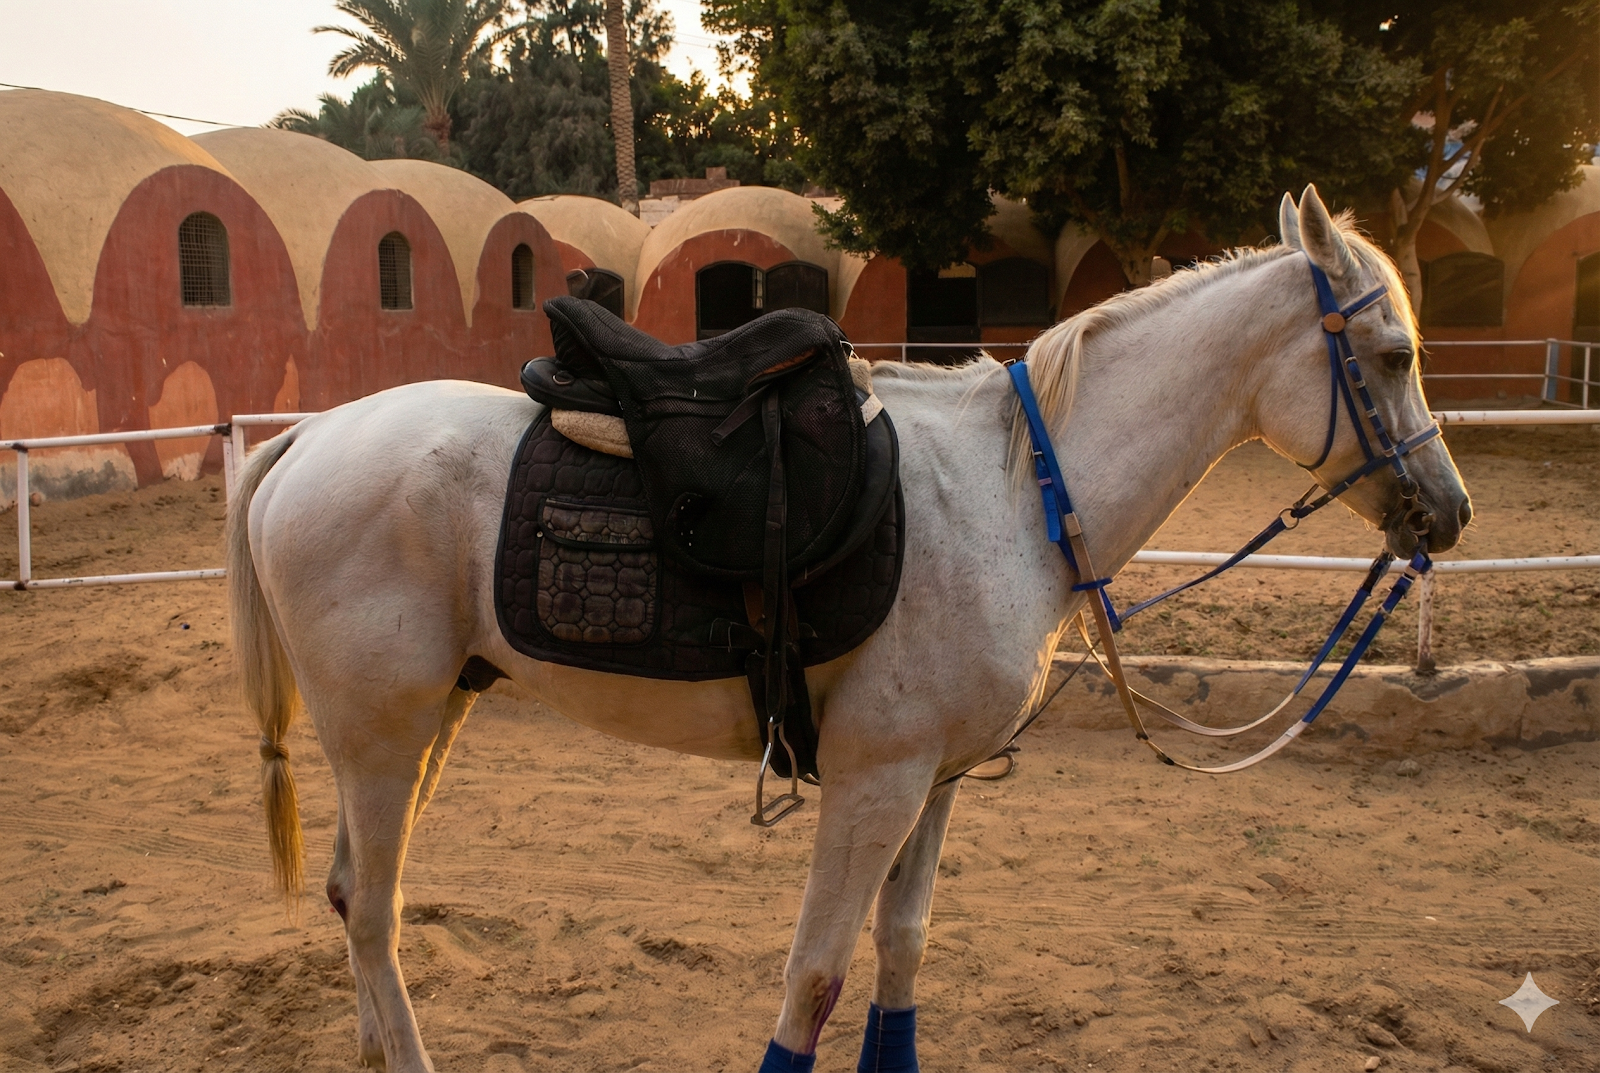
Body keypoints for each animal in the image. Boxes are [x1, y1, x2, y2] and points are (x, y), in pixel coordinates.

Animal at [227, 187, 1470, 1072]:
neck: (1013, 493)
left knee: (349, 893)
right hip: (383, 737)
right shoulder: (876, 781)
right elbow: (816, 975)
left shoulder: (939, 778)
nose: (1449, 512)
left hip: (429, 719)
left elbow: (900, 949)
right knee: (373, 910)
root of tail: (307, 437)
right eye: (1395, 356)